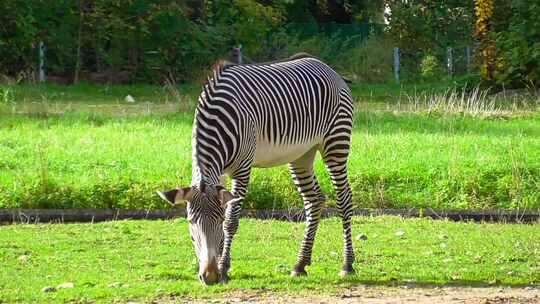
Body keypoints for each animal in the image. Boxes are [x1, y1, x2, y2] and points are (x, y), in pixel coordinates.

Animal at [158, 52, 356, 284]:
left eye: (217, 221)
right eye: (191, 223)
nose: (209, 277)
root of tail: (325, 66)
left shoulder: (242, 168)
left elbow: (231, 220)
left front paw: (224, 268)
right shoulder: (220, 175)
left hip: (336, 142)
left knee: (344, 199)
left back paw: (347, 264)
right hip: (301, 155)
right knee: (314, 200)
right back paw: (300, 264)